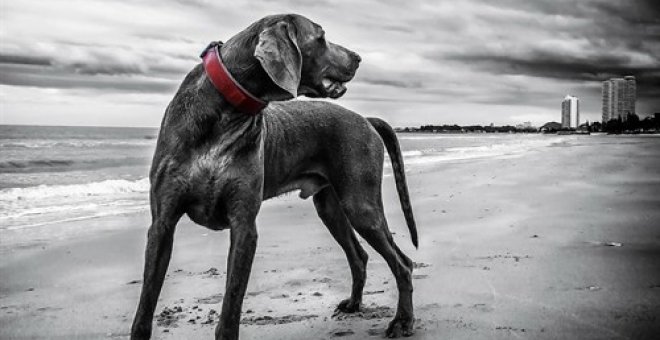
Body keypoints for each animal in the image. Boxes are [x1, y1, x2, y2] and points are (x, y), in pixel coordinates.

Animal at [130, 13, 418, 340]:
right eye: (321, 37)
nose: (358, 57)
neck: (226, 112)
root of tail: (366, 120)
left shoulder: (244, 226)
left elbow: (231, 306)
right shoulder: (162, 224)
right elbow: (145, 306)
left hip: (361, 205)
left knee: (403, 263)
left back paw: (402, 321)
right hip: (331, 207)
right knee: (359, 256)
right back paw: (354, 304)